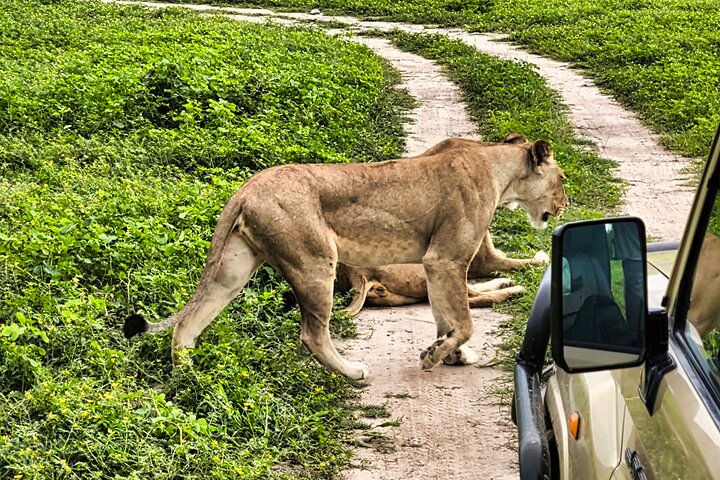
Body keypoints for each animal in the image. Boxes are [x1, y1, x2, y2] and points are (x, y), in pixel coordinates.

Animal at [124, 133, 568, 380]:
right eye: (562, 179)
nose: (565, 205)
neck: (497, 169)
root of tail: (246, 188)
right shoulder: (446, 258)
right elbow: (465, 320)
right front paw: (434, 357)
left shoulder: (437, 265)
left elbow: (447, 317)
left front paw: (449, 354)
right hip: (315, 262)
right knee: (312, 334)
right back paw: (354, 373)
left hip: (233, 271)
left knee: (188, 325)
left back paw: (190, 384)